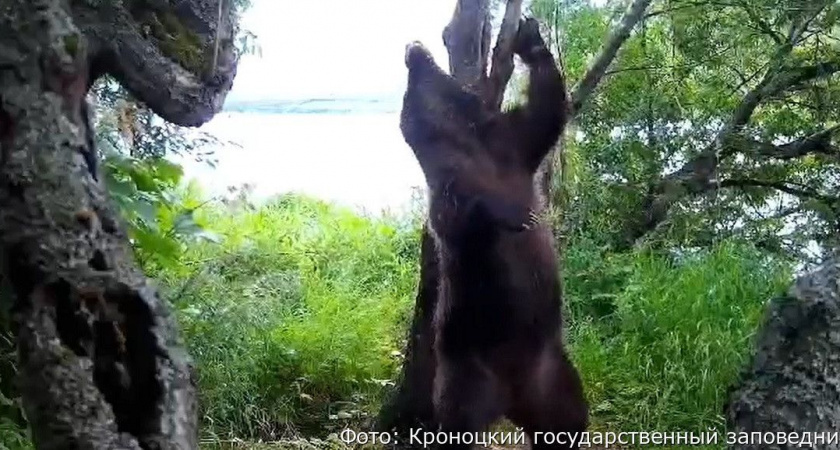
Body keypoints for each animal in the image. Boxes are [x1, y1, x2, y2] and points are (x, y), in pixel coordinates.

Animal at [399, 18, 589, 449]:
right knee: (457, 424)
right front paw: (513, 216)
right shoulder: (449, 182)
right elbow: (456, 219)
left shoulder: (513, 145)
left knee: (570, 421)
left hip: (556, 376)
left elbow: (547, 110)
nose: (412, 48)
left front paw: (529, 36)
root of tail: (513, 401)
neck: (472, 145)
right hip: (465, 371)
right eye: (408, 86)